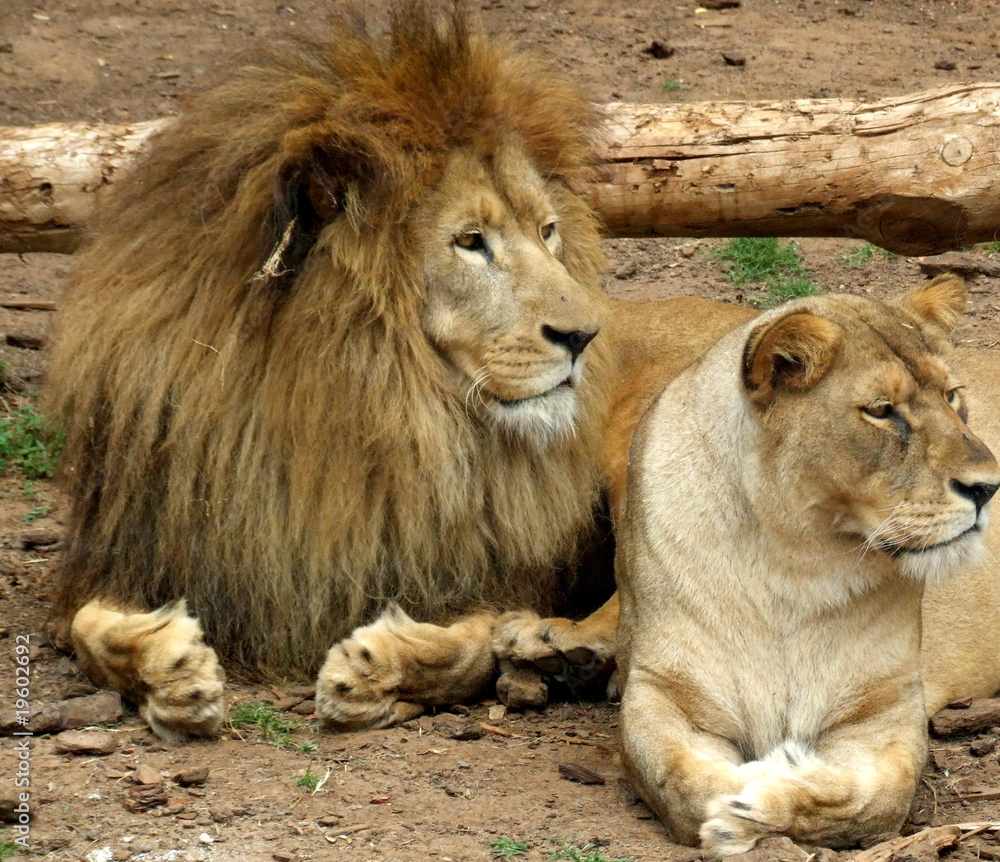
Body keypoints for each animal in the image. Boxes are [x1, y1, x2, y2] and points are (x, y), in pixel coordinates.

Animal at [615, 276, 1000, 857]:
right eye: (881, 410)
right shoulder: (661, 691)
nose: (988, 488)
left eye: (952, 395)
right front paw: (735, 804)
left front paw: (770, 791)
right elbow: (680, 781)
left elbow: (872, 801)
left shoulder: (886, 714)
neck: (794, 563)